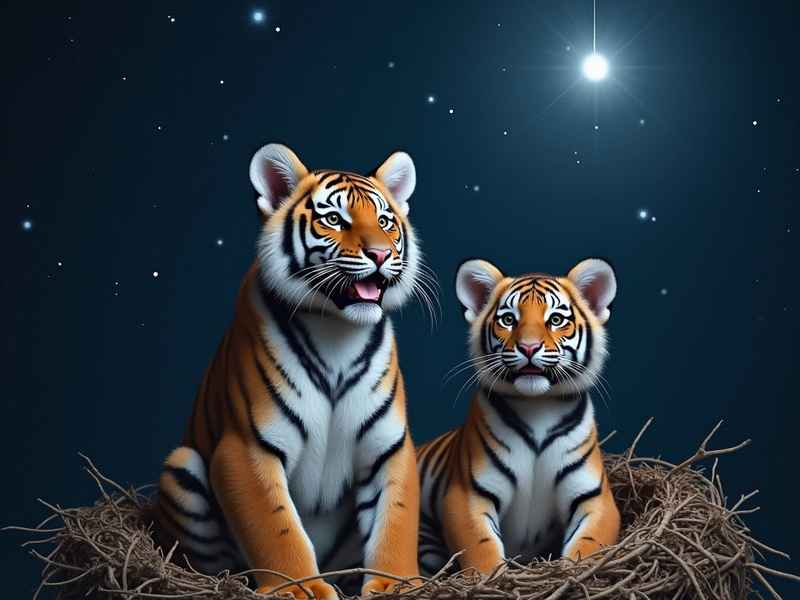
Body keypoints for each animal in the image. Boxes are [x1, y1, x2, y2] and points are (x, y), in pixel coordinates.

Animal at [154, 143, 426, 598]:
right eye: (334, 220)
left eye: (385, 222)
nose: (380, 254)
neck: (337, 331)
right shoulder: (246, 447)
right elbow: (276, 527)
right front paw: (301, 589)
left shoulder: (389, 447)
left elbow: (395, 521)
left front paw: (397, 584)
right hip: (182, 466)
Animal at [416, 258, 621, 574]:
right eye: (508, 320)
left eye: (556, 320)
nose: (528, 347)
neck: (538, 408)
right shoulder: (467, 495)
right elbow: (482, 549)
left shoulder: (596, 499)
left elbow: (587, 546)